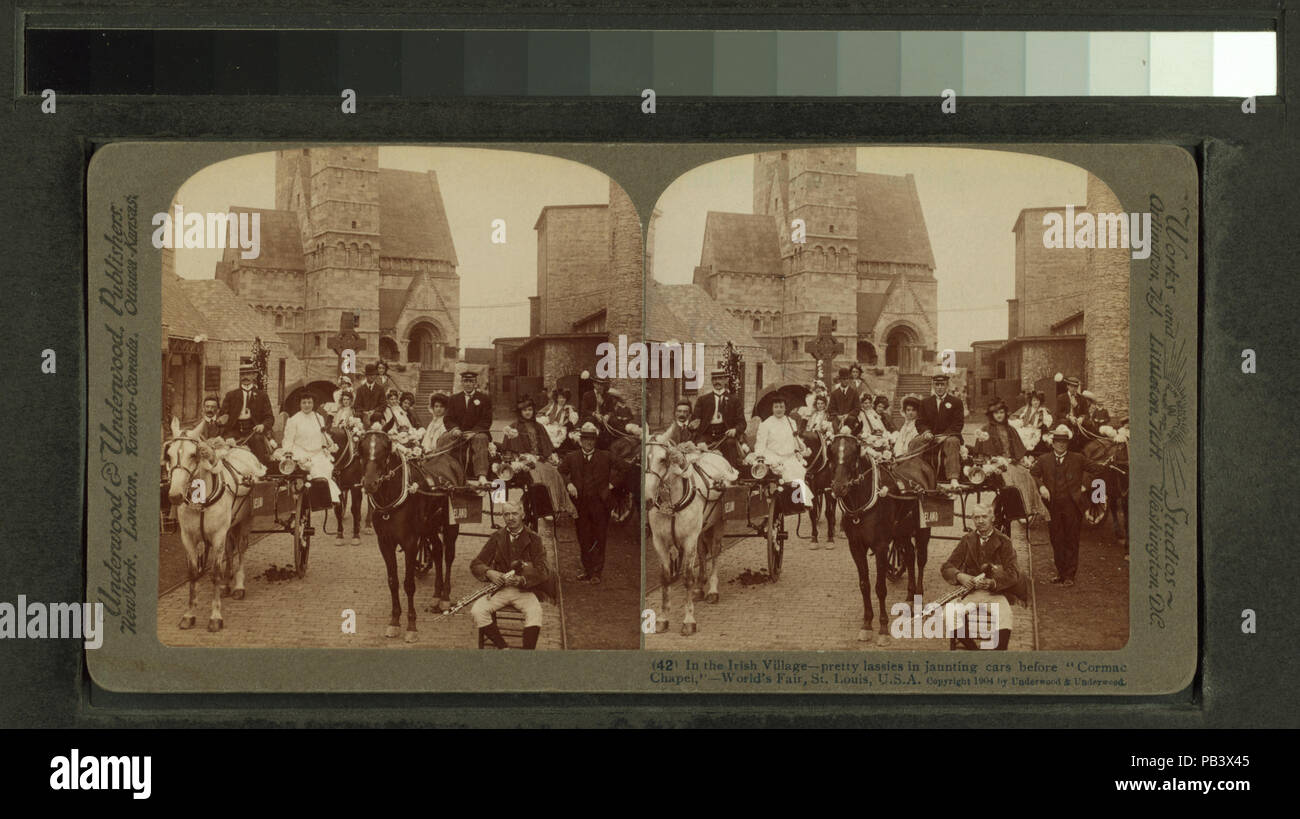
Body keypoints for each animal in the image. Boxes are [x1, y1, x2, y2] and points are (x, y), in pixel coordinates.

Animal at [162, 434, 263, 631]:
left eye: (194, 455)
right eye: (168, 455)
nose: (175, 495)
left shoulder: (217, 537)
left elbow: (215, 573)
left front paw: (215, 616)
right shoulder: (188, 538)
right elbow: (193, 574)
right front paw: (189, 615)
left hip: (245, 522)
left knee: (241, 550)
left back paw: (238, 586)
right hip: (230, 526)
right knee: (230, 550)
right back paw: (227, 583)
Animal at [644, 441, 738, 634]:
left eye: (663, 459)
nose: (647, 499)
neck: (672, 505)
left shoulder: (688, 540)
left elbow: (687, 577)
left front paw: (689, 620)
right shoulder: (660, 542)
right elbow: (665, 578)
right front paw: (663, 619)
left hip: (718, 525)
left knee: (715, 554)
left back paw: (712, 590)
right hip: (701, 531)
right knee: (702, 554)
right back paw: (700, 586)